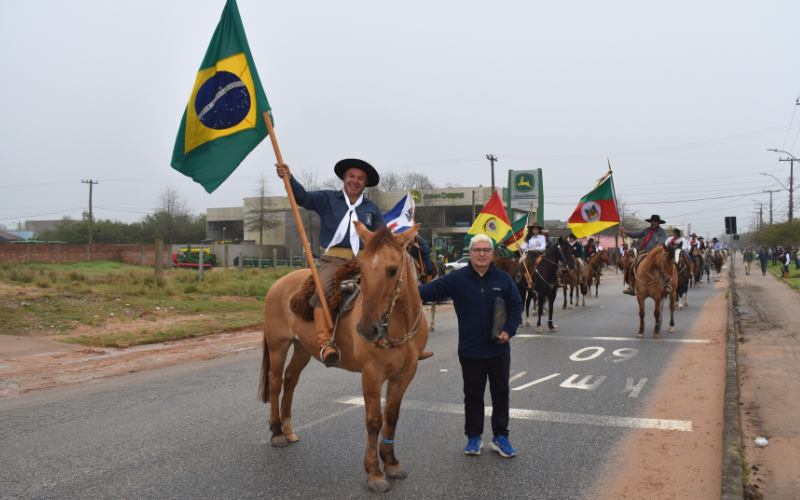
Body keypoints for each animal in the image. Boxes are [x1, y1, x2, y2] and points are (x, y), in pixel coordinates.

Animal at [260, 223, 428, 492]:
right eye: (363, 268)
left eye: (393, 270)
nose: (368, 329)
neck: (398, 322)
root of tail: (279, 283)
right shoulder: (371, 374)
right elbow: (374, 420)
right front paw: (374, 472)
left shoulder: (405, 373)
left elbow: (391, 416)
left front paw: (391, 462)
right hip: (279, 345)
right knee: (276, 382)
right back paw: (276, 433)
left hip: (302, 348)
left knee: (290, 380)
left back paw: (288, 429)